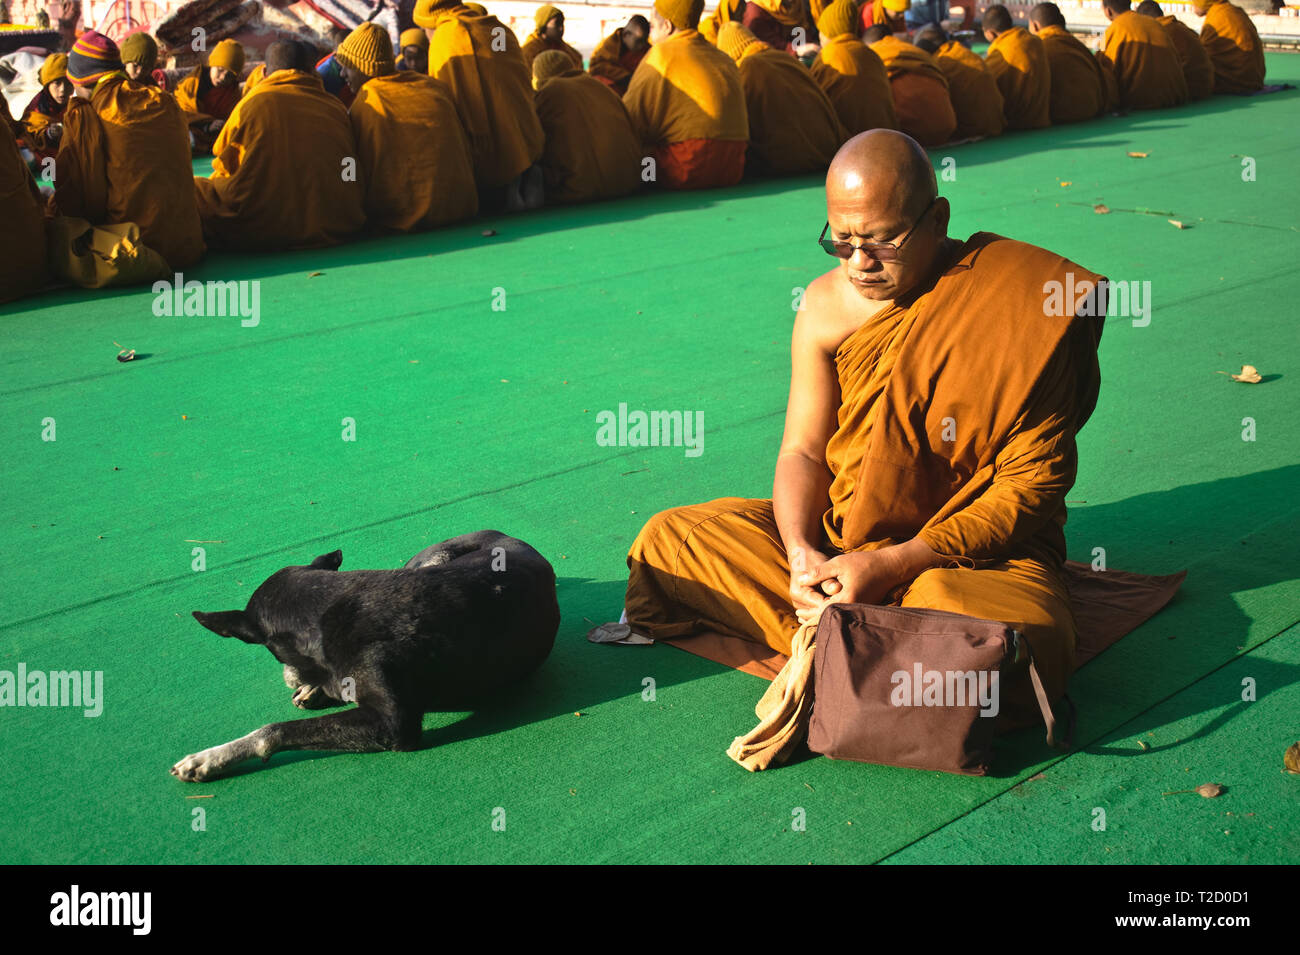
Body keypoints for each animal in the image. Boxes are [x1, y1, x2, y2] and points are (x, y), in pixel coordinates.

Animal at [171, 530, 559, 784]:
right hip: (426, 560)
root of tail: (503, 533)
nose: (290, 676)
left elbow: (275, 729)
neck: (326, 607)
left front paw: (213, 756)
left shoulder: (393, 722)